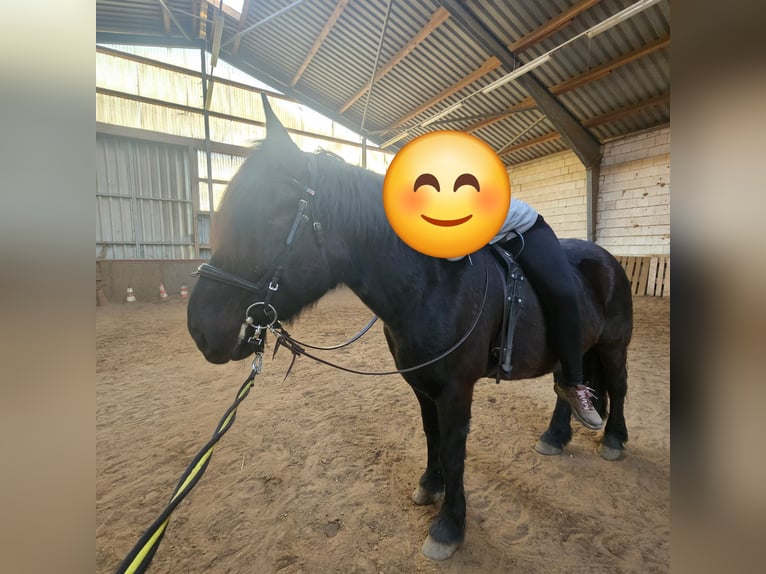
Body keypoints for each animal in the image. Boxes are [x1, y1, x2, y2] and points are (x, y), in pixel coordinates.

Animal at [187, 96, 633, 560]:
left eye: (270, 217)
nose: (200, 329)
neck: (431, 285)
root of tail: (607, 259)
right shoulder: (422, 384)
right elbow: (431, 435)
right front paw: (429, 487)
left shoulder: (456, 389)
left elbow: (453, 448)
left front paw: (449, 527)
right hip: (577, 348)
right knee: (566, 383)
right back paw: (556, 435)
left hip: (614, 344)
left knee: (617, 388)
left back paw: (613, 439)